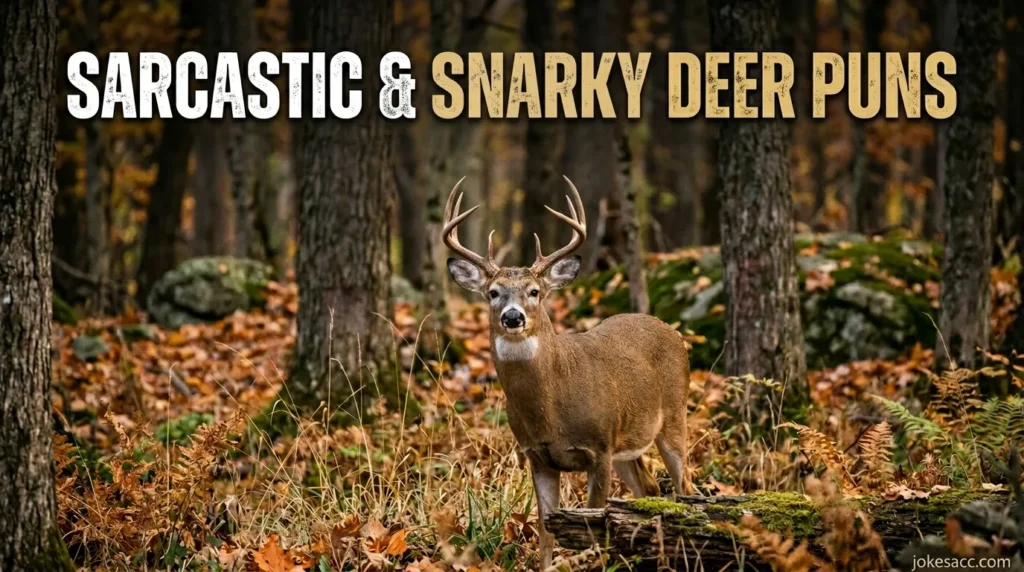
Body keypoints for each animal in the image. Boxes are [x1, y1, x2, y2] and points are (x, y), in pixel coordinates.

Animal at [442, 175, 691, 570]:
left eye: (534, 291)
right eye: (493, 292)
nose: (513, 317)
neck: (551, 410)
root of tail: (670, 329)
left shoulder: (600, 448)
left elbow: (595, 522)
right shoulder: (537, 455)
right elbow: (546, 530)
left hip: (673, 417)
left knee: (685, 487)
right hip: (628, 444)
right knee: (649, 489)